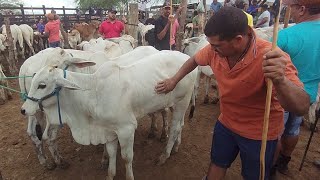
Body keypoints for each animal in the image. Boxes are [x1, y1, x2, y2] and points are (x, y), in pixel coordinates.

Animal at [20, 49, 198, 180]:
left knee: (175, 128)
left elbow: (127, 157)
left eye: (42, 85)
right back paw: (174, 147)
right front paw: (109, 172)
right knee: (179, 125)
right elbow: (112, 154)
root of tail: (187, 56)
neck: (93, 92)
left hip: (182, 102)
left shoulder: (127, 129)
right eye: (33, 79)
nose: (24, 109)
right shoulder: (109, 131)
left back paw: (164, 155)